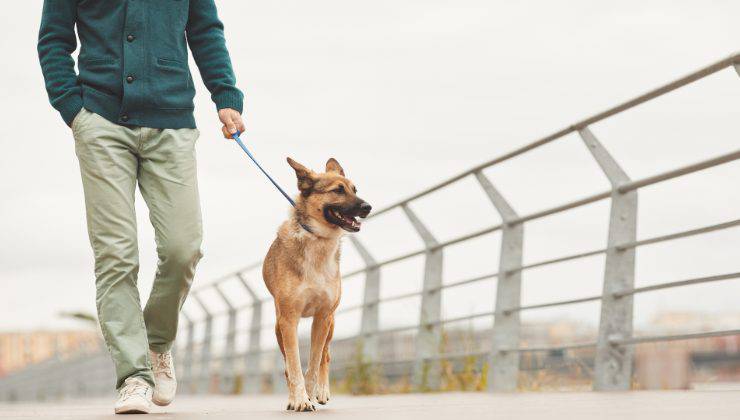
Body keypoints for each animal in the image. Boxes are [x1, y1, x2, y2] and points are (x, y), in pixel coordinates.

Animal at [264, 157, 372, 410]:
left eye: (355, 189)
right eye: (337, 190)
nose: (368, 207)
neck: (319, 239)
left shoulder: (323, 317)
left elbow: (314, 363)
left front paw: (312, 393)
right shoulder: (288, 320)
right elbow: (293, 365)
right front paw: (300, 399)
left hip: (330, 324)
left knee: (326, 355)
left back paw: (321, 391)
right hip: (278, 328)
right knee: (288, 364)